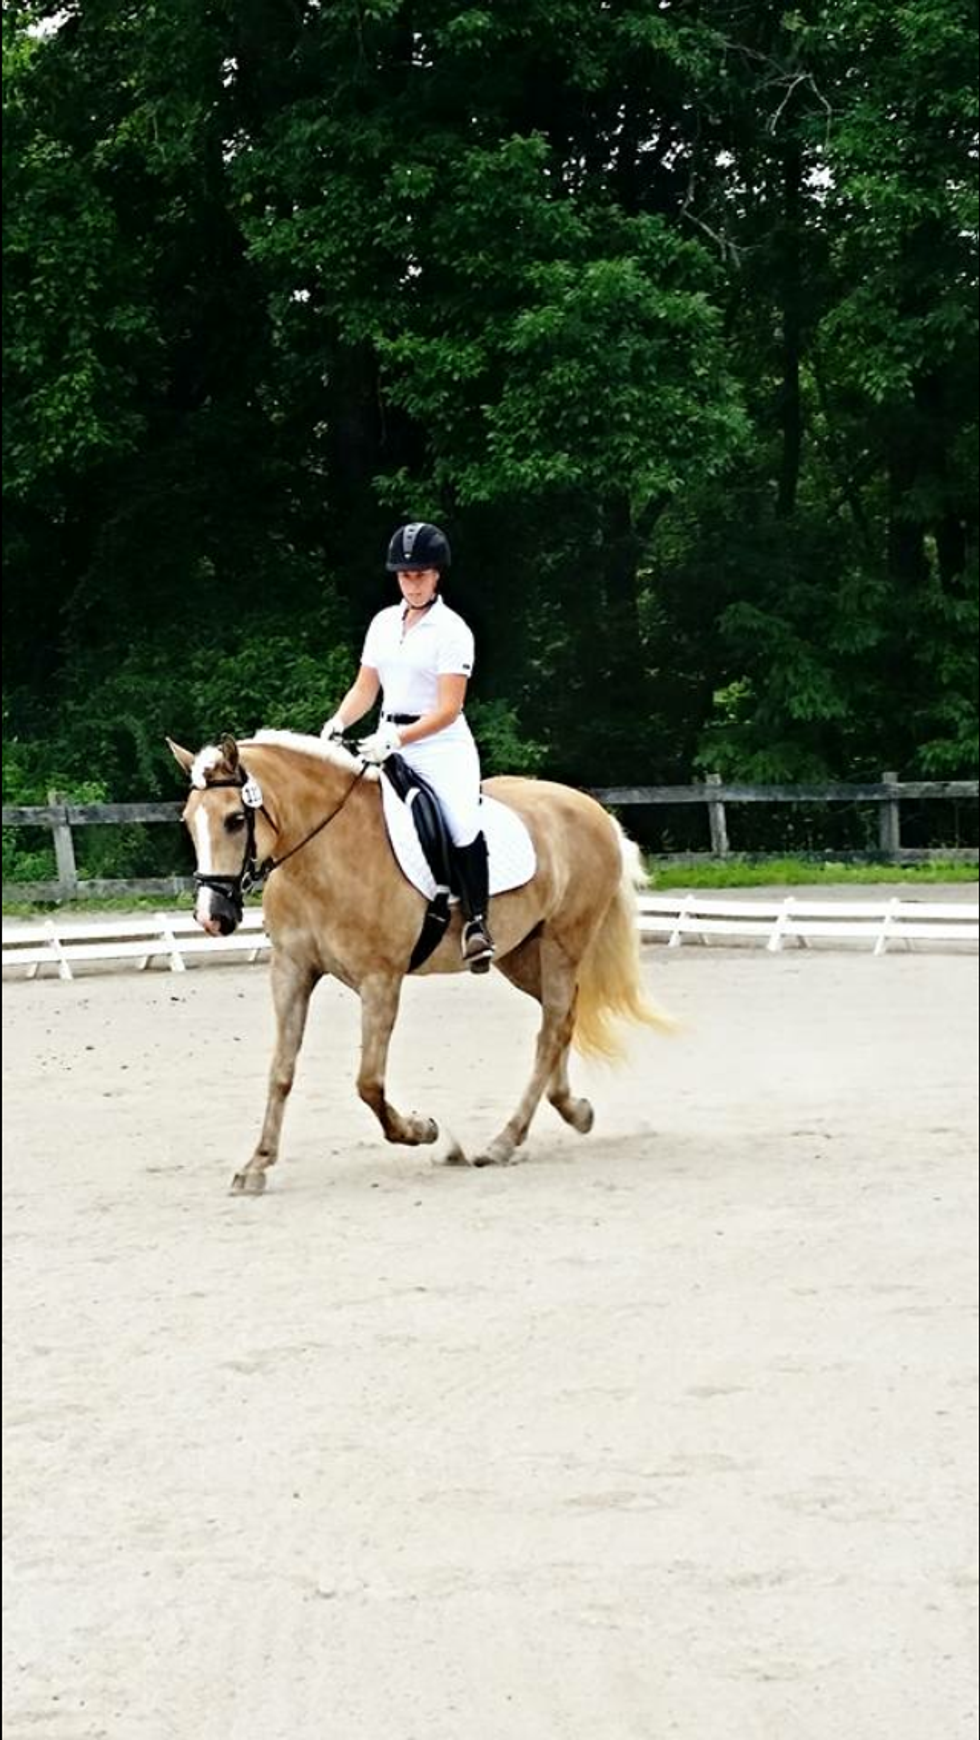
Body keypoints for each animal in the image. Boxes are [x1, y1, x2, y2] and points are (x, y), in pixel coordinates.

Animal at [167, 730, 670, 1189]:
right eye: (189, 821)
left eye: (235, 819)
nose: (212, 917)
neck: (323, 854)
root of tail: (593, 810)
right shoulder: (291, 971)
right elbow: (281, 1071)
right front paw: (257, 1164)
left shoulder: (380, 979)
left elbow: (368, 1082)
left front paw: (424, 1132)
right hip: (524, 955)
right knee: (562, 1018)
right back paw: (573, 1110)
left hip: (563, 943)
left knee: (550, 1033)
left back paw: (503, 1142)